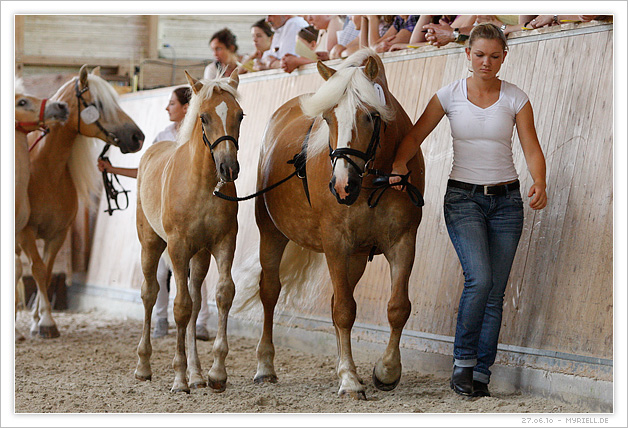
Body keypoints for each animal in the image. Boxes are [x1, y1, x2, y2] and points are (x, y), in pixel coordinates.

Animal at [17, 65, 145, 339]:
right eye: (98, 104)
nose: (137, 137)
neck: (45, 171)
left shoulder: (58, 234)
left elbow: (47, 271)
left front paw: (39, 320)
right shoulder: (26, 233)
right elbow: (37, 270)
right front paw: (46, 323)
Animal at [134, 70, 243, 393]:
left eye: (240, 115)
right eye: (204, 117)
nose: (228, 168)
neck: (202, 186)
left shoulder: (223, 243)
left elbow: (222, 295)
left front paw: (216, 373)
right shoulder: (177, 247)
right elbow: (179, 307)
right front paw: (179, 378)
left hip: (200, 256)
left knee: (196, 302)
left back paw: (197, 374)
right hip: (151, 245)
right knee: (150, 294)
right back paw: (144, 366)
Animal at [253, 49, 425, 399]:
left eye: (370, 116)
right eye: (329, 118)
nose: (343, 186)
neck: (373, 182)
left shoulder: (403, 241)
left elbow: (397, 307)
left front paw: (386, 371)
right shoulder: (335, 244)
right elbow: (345, 311)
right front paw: (349, 378)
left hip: (356, 256)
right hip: (272, 234)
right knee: (270, 292)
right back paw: (265, 366)